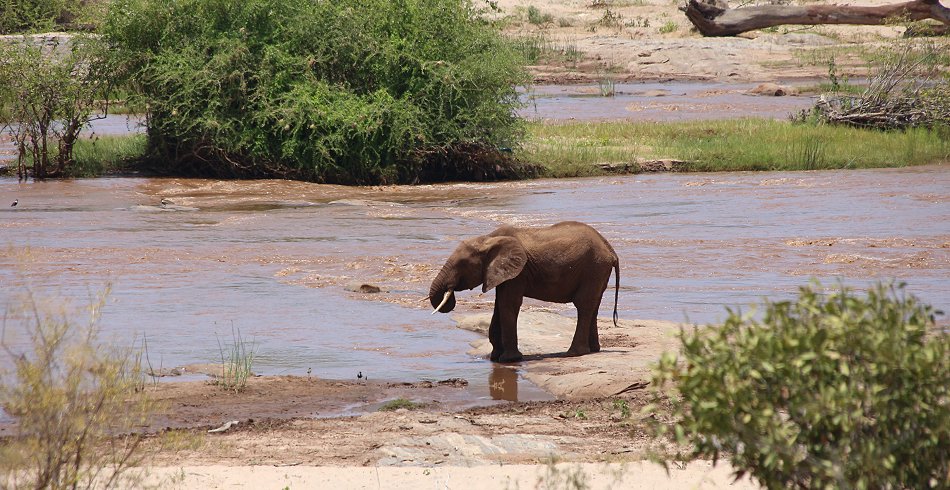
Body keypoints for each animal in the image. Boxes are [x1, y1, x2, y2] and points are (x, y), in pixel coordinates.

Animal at [428, 220, 620, 362]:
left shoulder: (519, 273)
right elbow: (499, 305)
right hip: (598, 271)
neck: (489, 239)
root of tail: (610, 250)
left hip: (593, 268)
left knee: (583, 305)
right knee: (594, 305)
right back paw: (593, 350)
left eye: (462, 264)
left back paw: (573, 353)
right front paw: (494, 357)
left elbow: (508, 304)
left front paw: (509, 360)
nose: (450, 295)